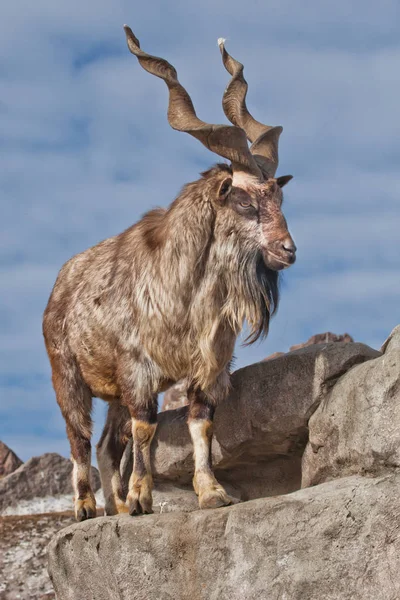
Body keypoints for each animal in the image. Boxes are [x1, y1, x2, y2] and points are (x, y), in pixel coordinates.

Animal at [43, 27, 296, 520]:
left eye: (279, 199)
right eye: (244, 201)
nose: (287, 250)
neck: (184, 293)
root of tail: (59, 287)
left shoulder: (207, 370)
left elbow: (200, 426)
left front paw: (211, 493)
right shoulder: (137, 369)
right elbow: (146, 428)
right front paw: (143, 497)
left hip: (111, 391)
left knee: (107, 444)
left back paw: (117, 507)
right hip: (67, 375)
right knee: (79, 437)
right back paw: (86, 507)